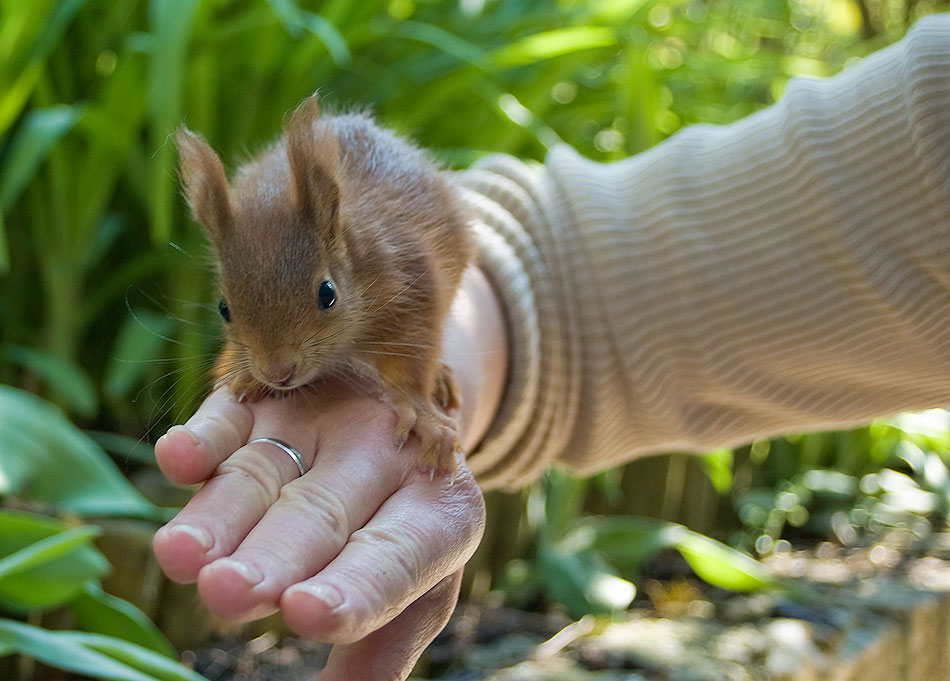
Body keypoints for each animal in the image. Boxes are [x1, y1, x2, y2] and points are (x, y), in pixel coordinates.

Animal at [177, 93, 474, 470]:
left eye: (327, 294)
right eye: (223, 308)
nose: (277, 372)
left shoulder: (413, 284)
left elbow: (412, 360)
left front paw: (423, 416)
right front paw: (245, 375)